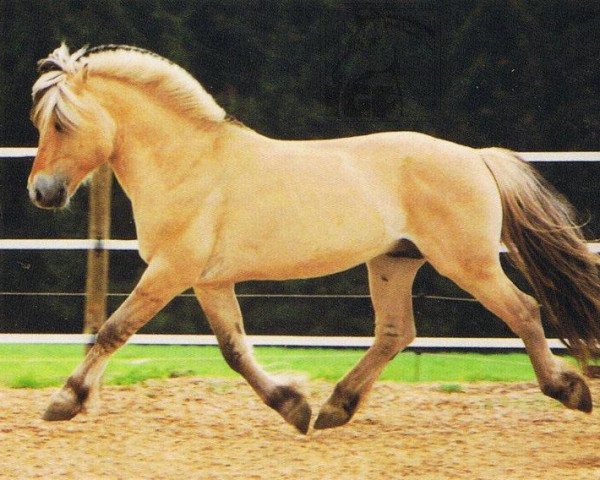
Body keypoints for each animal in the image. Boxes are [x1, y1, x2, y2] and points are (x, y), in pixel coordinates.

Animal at [28, 46, 600, 436]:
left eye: (61, 123)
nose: (41, 192)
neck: (189, 163)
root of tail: (476, 157)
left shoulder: (171, 270)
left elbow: (113, 331)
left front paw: (65, 401)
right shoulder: (210, 281)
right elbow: (234, 350)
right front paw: (292, 405)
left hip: (467, 263)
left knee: (523, 310)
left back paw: (569, 390)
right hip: (394, 263)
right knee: (396, 332)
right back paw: (334, 408)